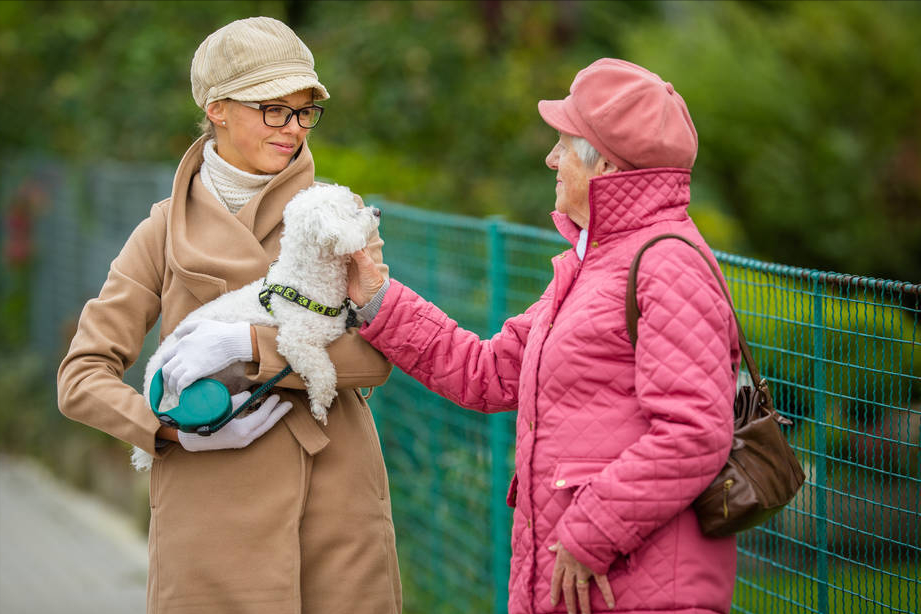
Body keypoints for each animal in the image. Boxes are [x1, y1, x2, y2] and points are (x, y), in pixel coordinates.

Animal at [129, 183, 378, 472]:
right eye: (353, 212)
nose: (377, 211)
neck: (304, 285)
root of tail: (148, 394)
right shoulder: (295, 341)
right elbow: (323, 370)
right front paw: (320, 404)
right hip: (176, 396)